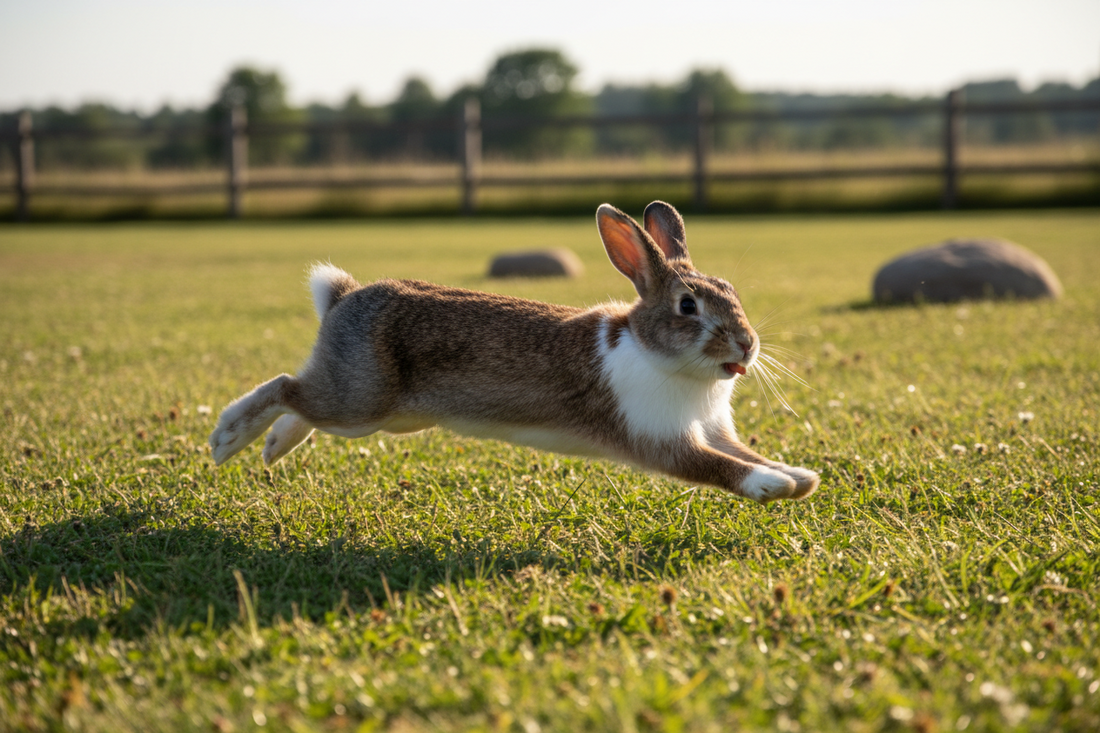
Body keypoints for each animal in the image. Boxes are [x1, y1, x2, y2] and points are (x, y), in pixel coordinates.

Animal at [208, 201, 819, 503]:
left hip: (388, 415)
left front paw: (800, 475)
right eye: (688, 305)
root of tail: (341, 297)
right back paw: (227, 440)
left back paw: (273, 448)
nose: (747, 344)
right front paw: (773, 488)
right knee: (287, 387)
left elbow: (745, 452)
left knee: (301, 399)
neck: (653, 352)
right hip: (362, 404)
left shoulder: (713, 428)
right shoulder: (661, 439)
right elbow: (717, 466)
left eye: (730, 291)